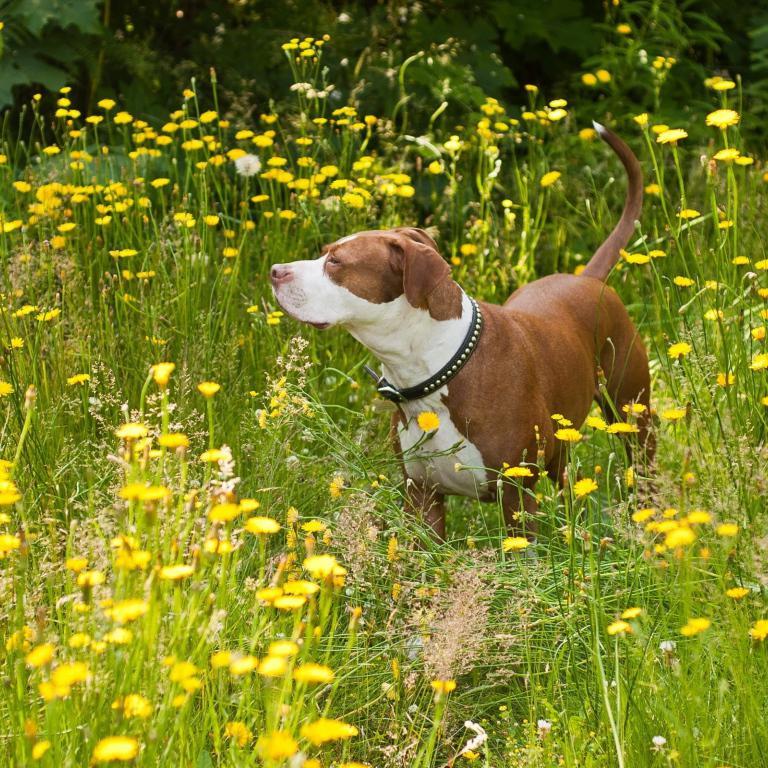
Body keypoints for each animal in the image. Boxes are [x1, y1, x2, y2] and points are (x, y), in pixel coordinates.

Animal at [272, 121, 652, 540]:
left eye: (336, 263)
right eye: (325, 252)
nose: (275, 271)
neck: (434, 369)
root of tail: (588, 279)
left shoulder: (517, 496)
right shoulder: (422, 496)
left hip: (633, 412)